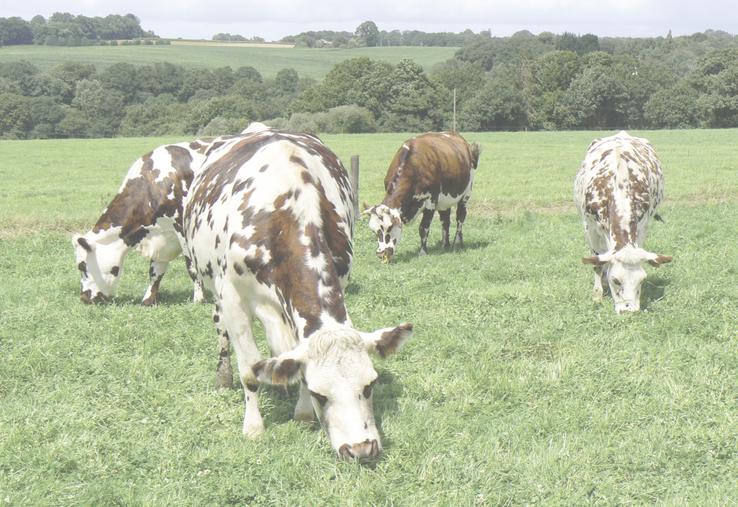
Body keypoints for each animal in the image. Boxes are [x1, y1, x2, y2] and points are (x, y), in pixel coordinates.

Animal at [73, 140, 211, 305]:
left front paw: (199, 299)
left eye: (82, 266)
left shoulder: (183, 230)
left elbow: (192, 266)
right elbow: (155, 270)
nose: (84, 297)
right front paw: (148, 300)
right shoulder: (163, 237)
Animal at [183, 124, 414, 461]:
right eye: (321, 394)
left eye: (370, 385)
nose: (361, 449)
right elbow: (250, 371)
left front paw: (302, 411)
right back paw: (224, 376)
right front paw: (253, 427)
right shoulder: (233, 299)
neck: (284, 211)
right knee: (222, 332)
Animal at [363, 132, 480, 263]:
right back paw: (445, 244)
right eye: (374, 230)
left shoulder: (430, 201)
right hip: (444, 200)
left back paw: (457, 243)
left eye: (389, 227)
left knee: (460, 217)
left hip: (466, 194)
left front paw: (423, 252)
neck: (413, 165)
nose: (381, 253)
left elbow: (423, 228)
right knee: (445, 220)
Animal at [574, 131, 672, 313]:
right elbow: (597, 263)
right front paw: (597, 294)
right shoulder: (590, 229)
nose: (629, 312)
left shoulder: (642, 227)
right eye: (616, 280)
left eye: (642, 280)